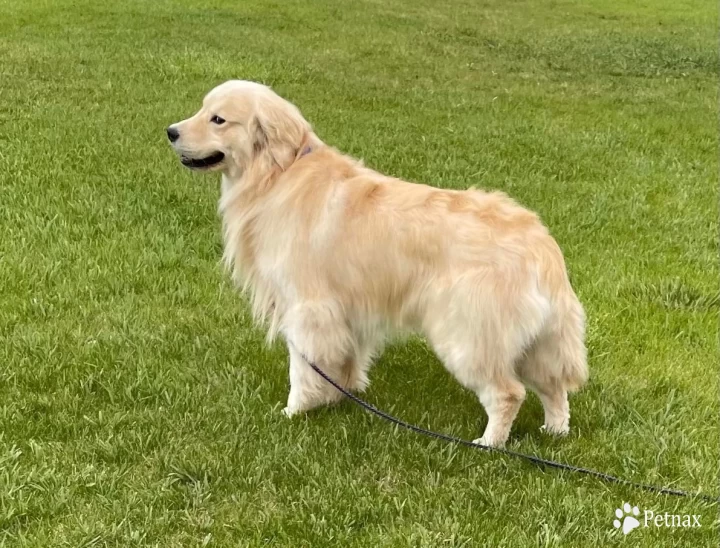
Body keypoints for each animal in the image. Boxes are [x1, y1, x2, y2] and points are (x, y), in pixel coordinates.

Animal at [166, 79, 588, 446]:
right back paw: (555, 432)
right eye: (202, 110)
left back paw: (489, 444)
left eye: (218, 119)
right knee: (554, 389)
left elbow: (301, 368)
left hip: (468, 337)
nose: (170, 131)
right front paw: (341, 396)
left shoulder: (307, 308)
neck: (278, 174)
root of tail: (541, 245)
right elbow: (344, 362)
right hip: (537, 342)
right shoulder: (347, 311)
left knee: (508, 393)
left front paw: (295, 410)